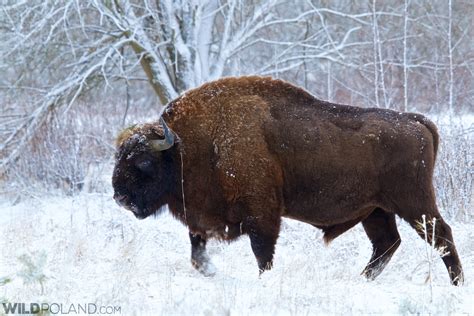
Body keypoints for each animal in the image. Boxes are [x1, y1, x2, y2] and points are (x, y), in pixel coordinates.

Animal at [114, 76, 462, 284]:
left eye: (143, 161)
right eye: (119, 156)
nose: (120, 197)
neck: (189, 146)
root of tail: (417, 121)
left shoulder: (262, 214)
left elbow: (262, 253)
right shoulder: (202, 219)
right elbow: (197, 253)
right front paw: (211, 272)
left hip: (413, 203)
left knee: (441, 236)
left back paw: (456, 283)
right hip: (376, 211)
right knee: (386, 244)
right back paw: (361, 279)